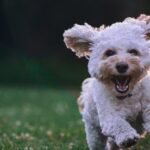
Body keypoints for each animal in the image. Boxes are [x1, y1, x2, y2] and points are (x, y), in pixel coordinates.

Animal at [62, 14, 150, 150]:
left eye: (133, 51)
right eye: (109, 52)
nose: (122, 66)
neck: (128, 96)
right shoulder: (109, 116)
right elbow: (118, 124)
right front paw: (127, 137)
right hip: (94, 133)